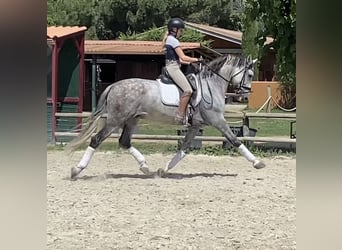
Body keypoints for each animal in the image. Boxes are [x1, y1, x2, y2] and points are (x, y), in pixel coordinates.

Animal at [66, 54, 264, 180]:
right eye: (250, 74)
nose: (245, 96)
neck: (211, 85)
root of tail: (114, 86)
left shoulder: (195, 125)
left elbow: (184, 148)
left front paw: (164, 170)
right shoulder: (217, 120)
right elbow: (235, 140)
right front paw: (257, 162)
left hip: (132, 120)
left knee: (124, 141)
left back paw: (145, 167)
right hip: (116, 121)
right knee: (96, 140)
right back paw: (76, 170)